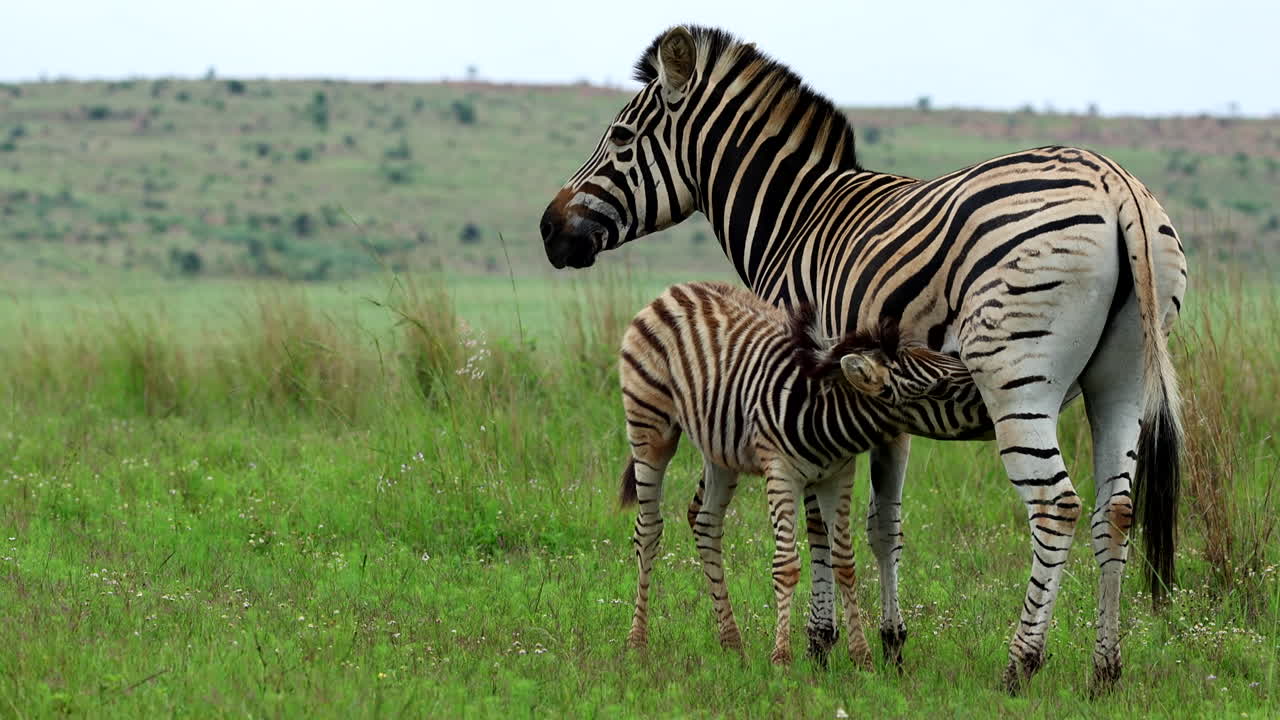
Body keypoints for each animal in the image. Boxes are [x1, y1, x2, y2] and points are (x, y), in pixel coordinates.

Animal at [618, 281, 985, 666]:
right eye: (940, 388)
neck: (824, 412)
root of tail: (677, 289)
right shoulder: (781, 472)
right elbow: (787, 565)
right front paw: (781, 656)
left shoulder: (838, 475)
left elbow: (845, 562)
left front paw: (862, 657)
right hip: (649, 427)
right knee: (648, 530)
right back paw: (637, 642)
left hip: (719, 447)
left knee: (706, 523)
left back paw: (732, 643)